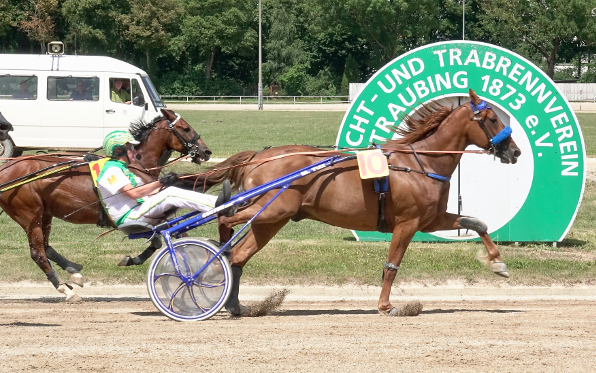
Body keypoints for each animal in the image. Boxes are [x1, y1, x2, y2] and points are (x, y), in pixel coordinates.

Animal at [0, 109, 212, 300]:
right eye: (185, 128)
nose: (206, 151)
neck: (134, 165)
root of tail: (6, 169)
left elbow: (165, 237)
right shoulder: (141, 213)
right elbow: (167, 237)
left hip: (46, 214)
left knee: (46, 246)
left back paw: (74, 271)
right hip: (30, 215)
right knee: (37, 252)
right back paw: (65, 289)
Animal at [208, 88, 520, 316]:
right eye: (493, 119)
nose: (515, 151)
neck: (421, 163)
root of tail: (258, 157)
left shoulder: (430, 219)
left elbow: (477, 223)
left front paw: (498, 264)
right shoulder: (408, 222)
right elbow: (392, 265)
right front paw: (386, 306)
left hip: (270, 219)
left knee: (239, 256)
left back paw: (235, 304)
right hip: (271, 210)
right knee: (225, 218)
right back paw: (216, 252)